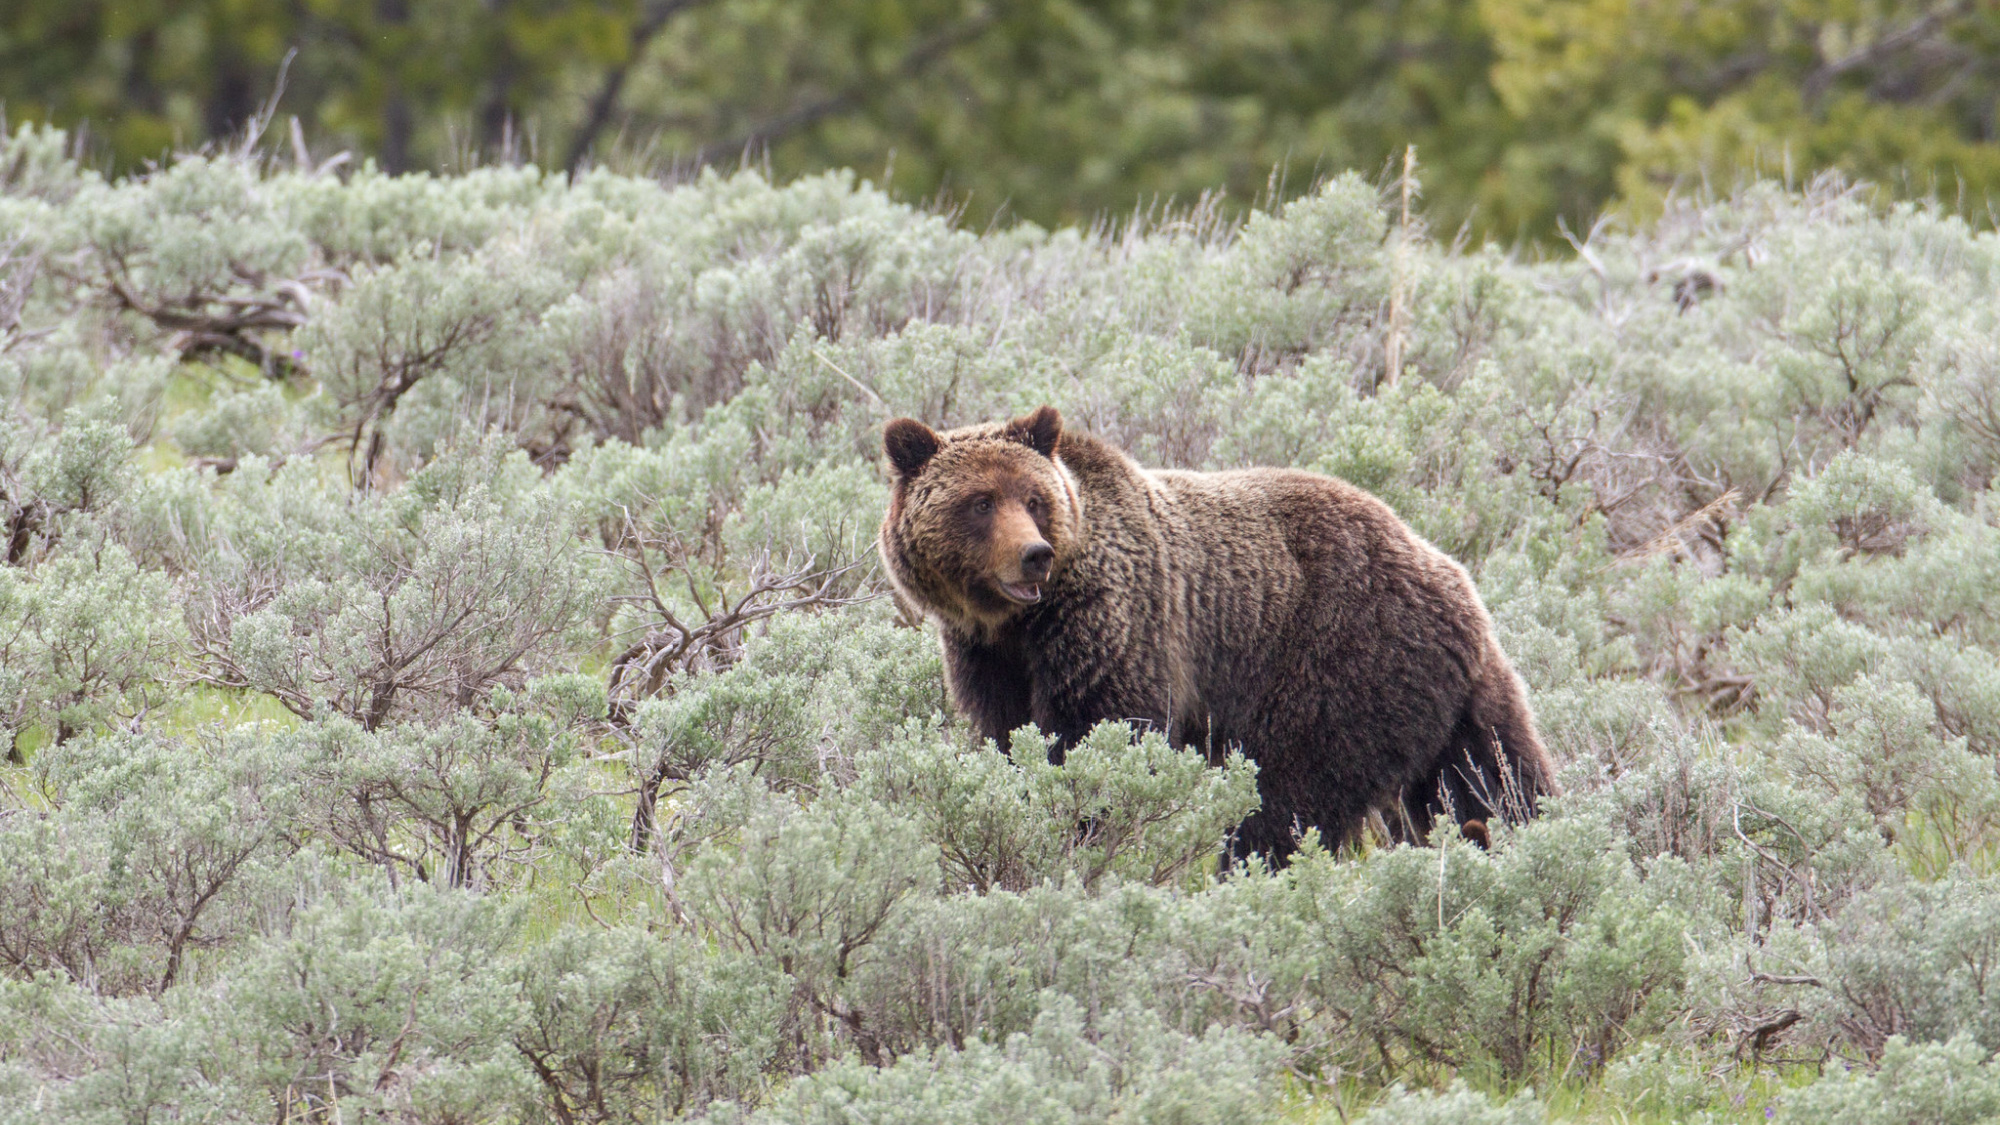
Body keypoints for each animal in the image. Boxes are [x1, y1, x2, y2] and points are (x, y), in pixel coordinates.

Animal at [880, 404, 1560, 856]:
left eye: (1033, 498)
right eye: (980, 502)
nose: (1034, 555)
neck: (1020, 623)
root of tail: (1452, 577)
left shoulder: (1115, 625)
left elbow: (1101, 734)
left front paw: (1091, 829)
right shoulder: (987, 658)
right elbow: (1008, 737)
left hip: (1338, 661)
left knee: (1288, 795)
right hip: (1450, 696)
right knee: (1493, 775)